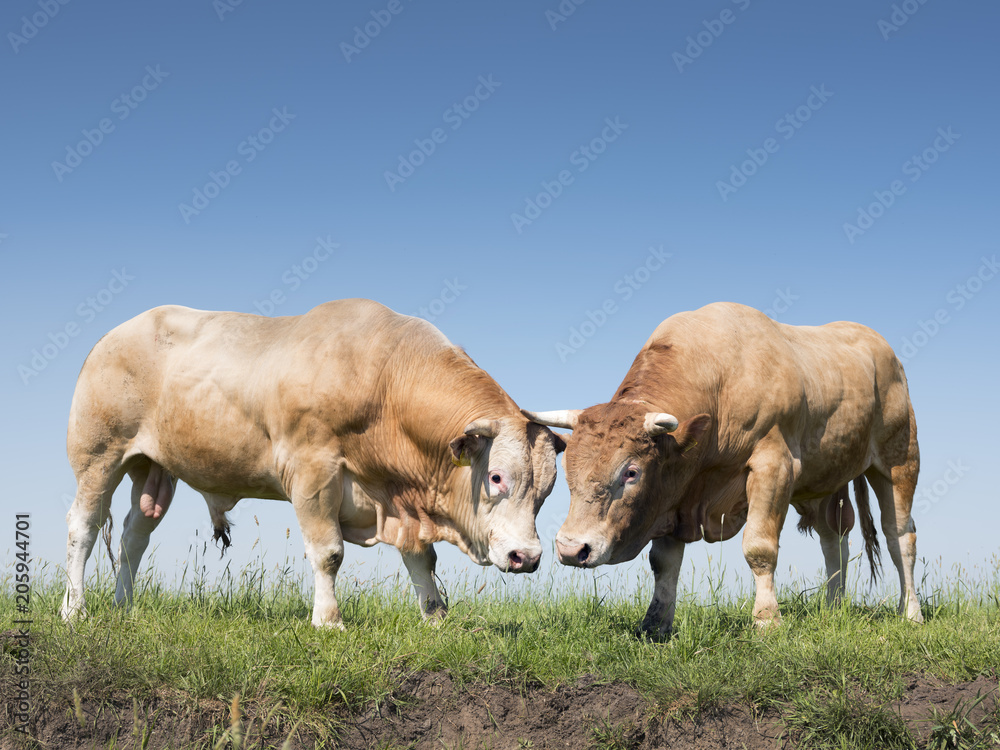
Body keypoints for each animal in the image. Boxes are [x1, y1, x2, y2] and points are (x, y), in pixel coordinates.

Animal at [61, 299, 565, 629]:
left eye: (546, 491)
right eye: (496, 477)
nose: (527, 557)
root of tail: (118, 331)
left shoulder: (399, 499)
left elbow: (422, 557)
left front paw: (435, 617)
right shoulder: (312, 471)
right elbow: (329, 553)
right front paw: (329, 621)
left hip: (152, 468)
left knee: (134, 536)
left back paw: (124, 606)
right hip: (99, 455)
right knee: (83, 528)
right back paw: (74, 609)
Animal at [525, 302, 922, 637]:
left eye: (631, 472)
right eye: (566, 468)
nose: (572, 549)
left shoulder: (773, 465)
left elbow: (760, 548)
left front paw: (767, 620)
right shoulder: (675, 492)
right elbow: (663, 563)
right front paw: (655, 625)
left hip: (899, 459)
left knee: (899, 535)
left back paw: (911, 613)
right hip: (826, 479)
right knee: (834, 538)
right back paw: (833, 608)